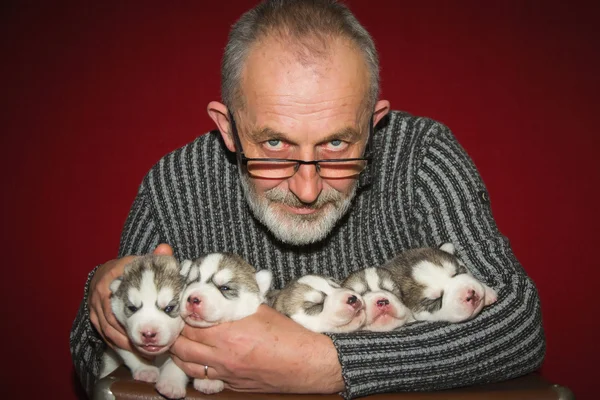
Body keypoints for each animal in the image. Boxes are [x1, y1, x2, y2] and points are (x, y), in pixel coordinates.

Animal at [157, 253, 274, 396]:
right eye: (189, 282)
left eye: (224, 287)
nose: (193, 299)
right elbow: (173, 362)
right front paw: (170, 382)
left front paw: (209, 382)